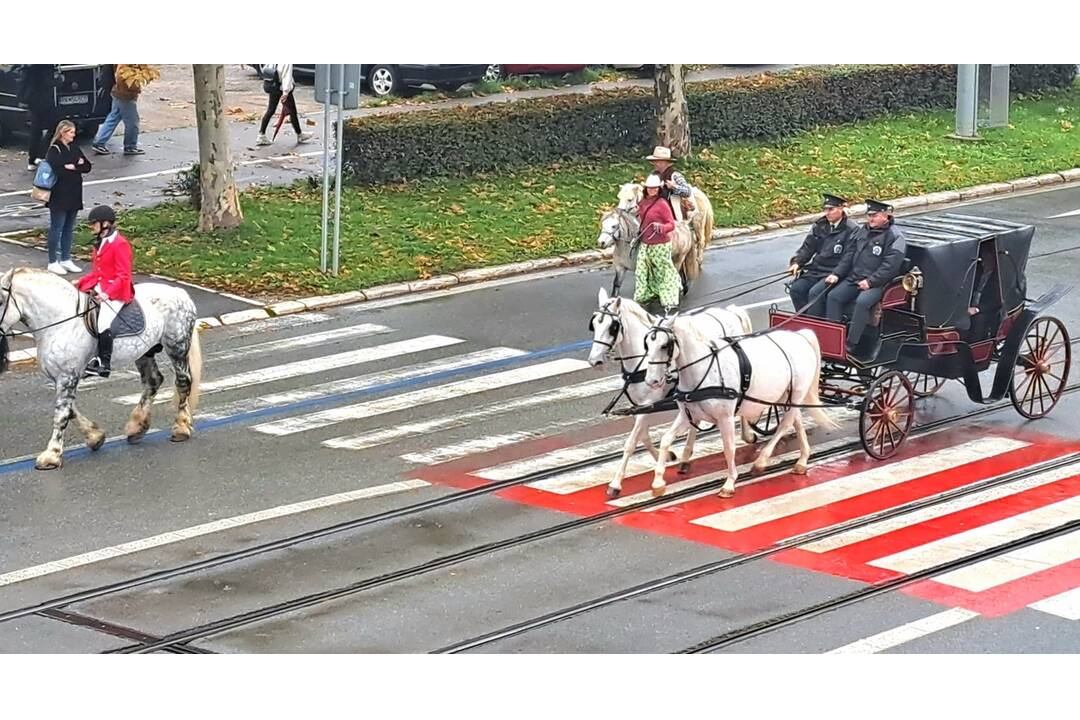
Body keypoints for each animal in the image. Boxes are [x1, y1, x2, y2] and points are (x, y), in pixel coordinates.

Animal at [0, 267, 203, 470]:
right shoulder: (61, 377)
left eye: (0, 301)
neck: (59, 321)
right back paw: (136, 429)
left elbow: (62, 414)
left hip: (176, 347)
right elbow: (70, 410)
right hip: (145, 352)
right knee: (153, 381)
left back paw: (181, 428)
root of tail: (180, 292)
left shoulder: (67, 376)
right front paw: (95, 437)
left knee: (183, 382)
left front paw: (52, 455)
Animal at [587, 284, 756, 496]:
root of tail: (731, 311)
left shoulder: (649, 403)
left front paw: (616, 483)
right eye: (594, 323)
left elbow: (631, 442)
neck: (642, 359)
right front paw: (666, 457)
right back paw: (685, 457)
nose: (594, 361)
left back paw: (747, 435)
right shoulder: (641, 406)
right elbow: (643, 436)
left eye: (612, 327)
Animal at [639, 317, 833, 498]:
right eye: (647, 344)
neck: (704, 369)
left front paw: (729, 483)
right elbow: (665, 440)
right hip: (786, 396)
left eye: (665, 345)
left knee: (785, 424)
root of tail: (800, 336)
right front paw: (658, 482)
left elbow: (729, 448)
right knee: (796, 420)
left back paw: (761, 461)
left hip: (796, 394)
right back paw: (802, 460)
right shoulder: (689, 416)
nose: (651, 381)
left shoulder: (725, 418)